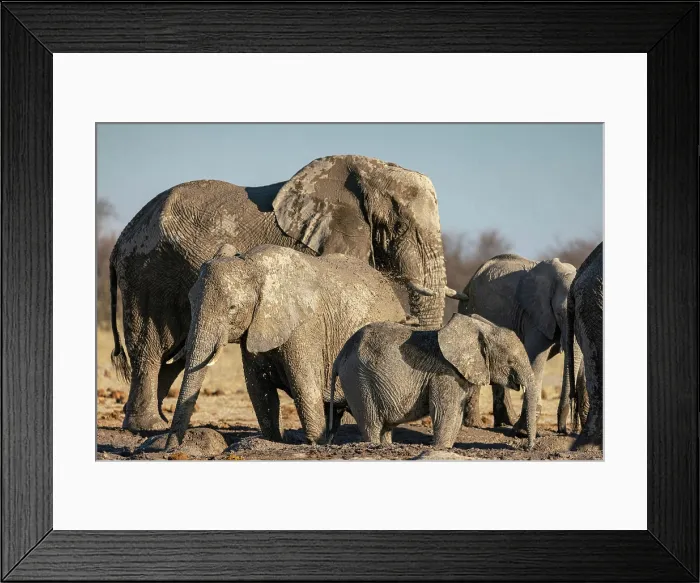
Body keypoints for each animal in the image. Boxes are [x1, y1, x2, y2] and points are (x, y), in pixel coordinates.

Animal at [164, 244, 413, 450]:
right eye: (191, 302)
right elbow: (259, 392)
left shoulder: (305, 329)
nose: (170, 450)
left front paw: (314, 444)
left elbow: (305, 389)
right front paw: (274, 441)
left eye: (232, 308)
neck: (253, 266)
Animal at [328, 313, 538, 450]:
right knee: (371, 422)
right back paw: (374, 445)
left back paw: (387, 446)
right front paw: (441, 448)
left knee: (385, 426)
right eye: (510, 361)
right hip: (359, 381)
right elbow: (445, 413)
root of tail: (339, 356)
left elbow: (455, 415)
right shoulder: (443, 374)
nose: (527, 447)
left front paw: (446, 448)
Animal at [458, 254, 588, 435]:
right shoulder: (534, 315)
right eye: (561, 313)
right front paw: (523, 432)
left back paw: (504, 423)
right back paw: (475, 424)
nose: (564, 429)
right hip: (468, 308)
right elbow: (536, 359)